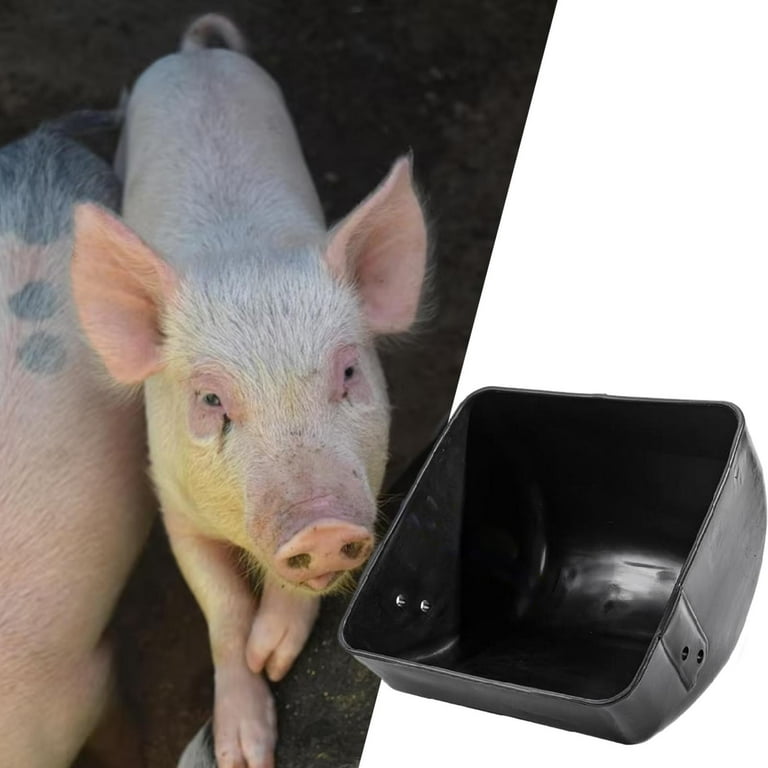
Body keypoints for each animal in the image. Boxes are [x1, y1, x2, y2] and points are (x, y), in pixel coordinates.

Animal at [70, 13, 428, 768]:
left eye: (348, 372)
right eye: (211, 403)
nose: (323, 526)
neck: (246, 258)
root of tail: (193, 56)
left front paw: (274, 654)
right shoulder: (171, 500)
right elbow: (223, 607)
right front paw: (244, 750)